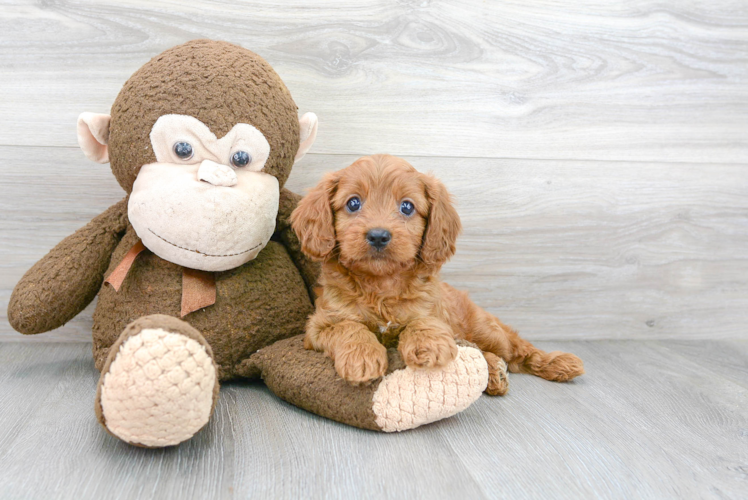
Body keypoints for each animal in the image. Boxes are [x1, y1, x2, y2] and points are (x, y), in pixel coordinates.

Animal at [292, 153, 584, 394]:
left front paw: (428, 345)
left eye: (407, 207)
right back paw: (494, 373)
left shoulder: (433, 309)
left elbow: (423, 320)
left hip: (487, 330)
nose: (378, 235)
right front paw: (361, 358)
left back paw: (559, 363)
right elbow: (348, 326)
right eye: (353, 203)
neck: (382, 283)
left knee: (517, 349)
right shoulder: (319, 326)